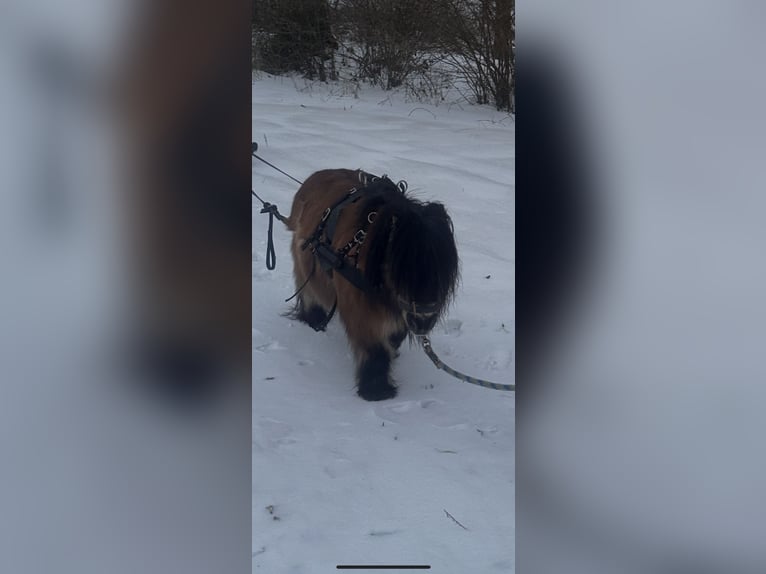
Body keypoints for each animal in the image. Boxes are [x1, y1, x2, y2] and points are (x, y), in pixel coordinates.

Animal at [286, 169, 460, 401]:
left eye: (442, 271)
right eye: (401, 270)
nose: (423, 322)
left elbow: (394, 336)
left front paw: (393, 351)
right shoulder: (361, 311)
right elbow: (375, 348)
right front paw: (377, 390)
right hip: (305, 264)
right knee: (308, 290)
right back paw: (313, 318)